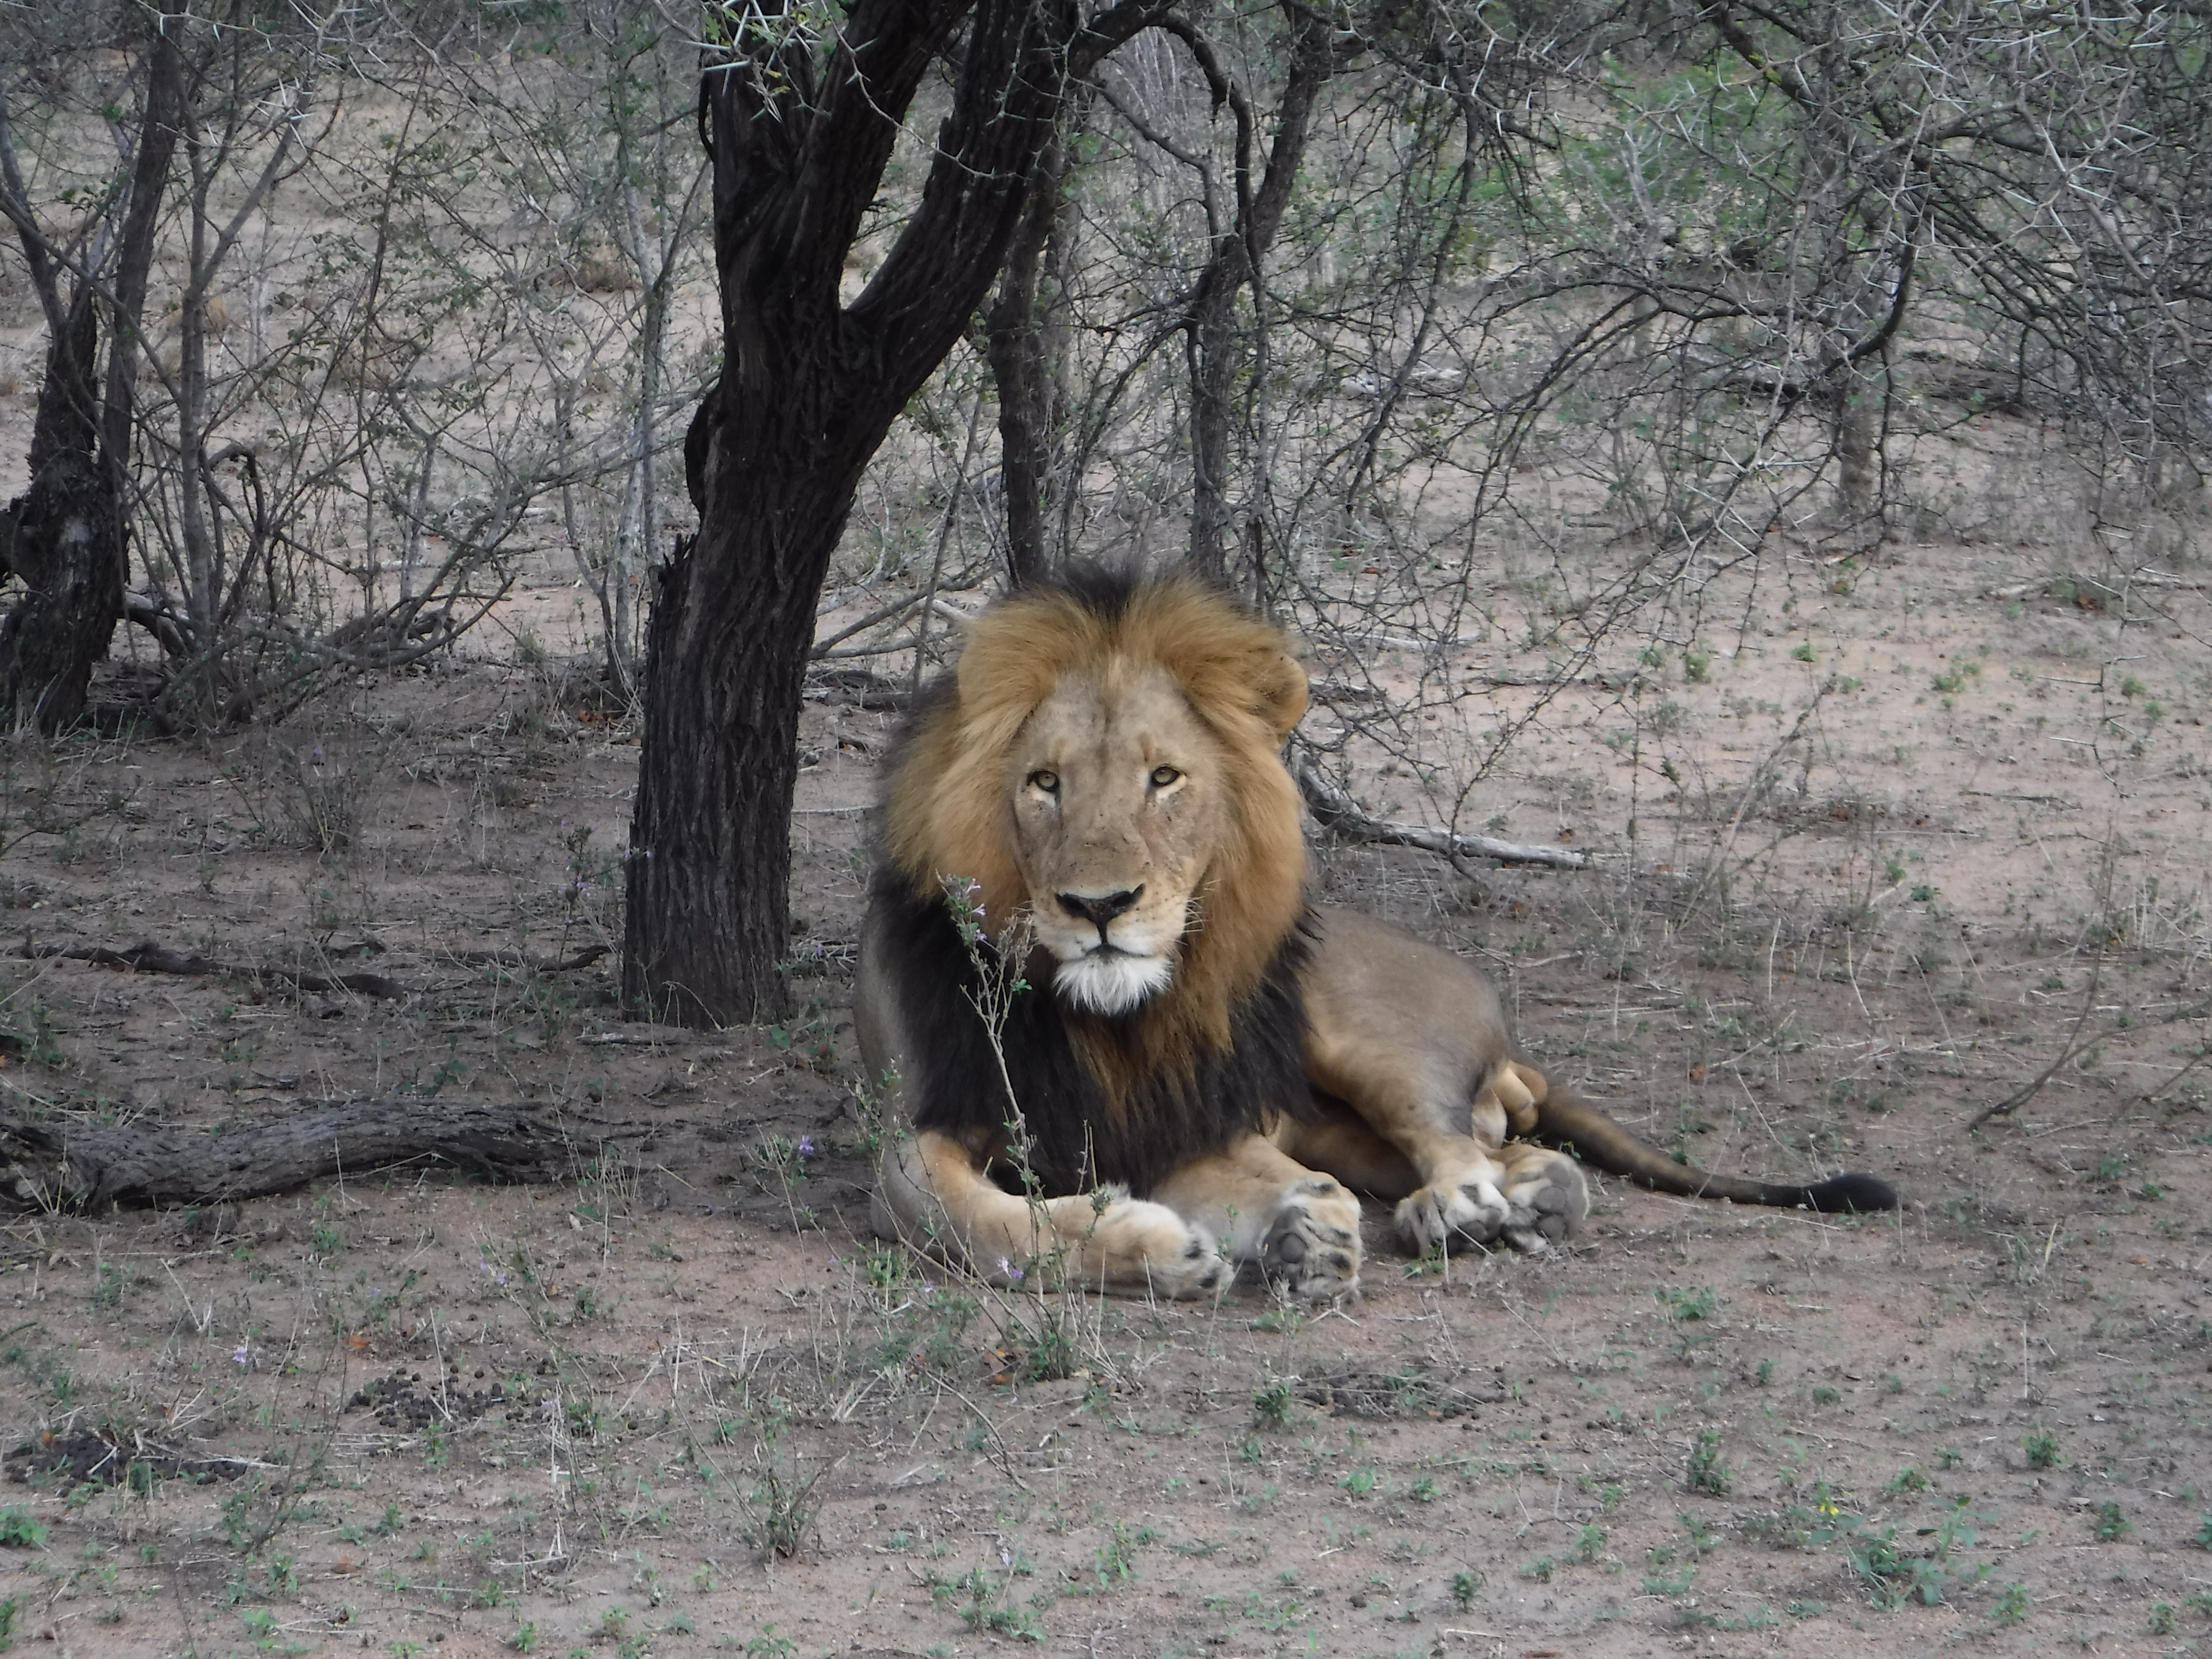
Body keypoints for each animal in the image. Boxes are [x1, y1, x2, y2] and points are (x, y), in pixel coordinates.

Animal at [856, 570, 1897, 1299]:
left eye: (1164, 778)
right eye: (1045, 783)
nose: (1101, 906)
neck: (1105, 1027)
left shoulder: (1189, 1123)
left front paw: (1291, 1231)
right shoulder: (926, 1125)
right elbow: (975, 1218)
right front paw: (1166, 1247)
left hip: (1365, 1036)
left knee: (1457, 1145)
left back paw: (1464, 1212)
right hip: (1342, 1120)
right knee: (1523, 1156)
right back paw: (1524, 1201)